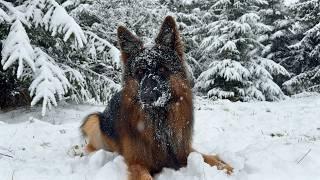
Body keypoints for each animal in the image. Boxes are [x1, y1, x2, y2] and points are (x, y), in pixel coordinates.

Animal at [80, 16, 232, 179]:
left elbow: (207, 157)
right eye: (140, 72)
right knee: (90, 147)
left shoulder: (182, 151)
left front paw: (225, 167)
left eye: (162, 69)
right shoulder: (137, 163)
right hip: (93, 120)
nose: (147, 97)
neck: (159, 121)